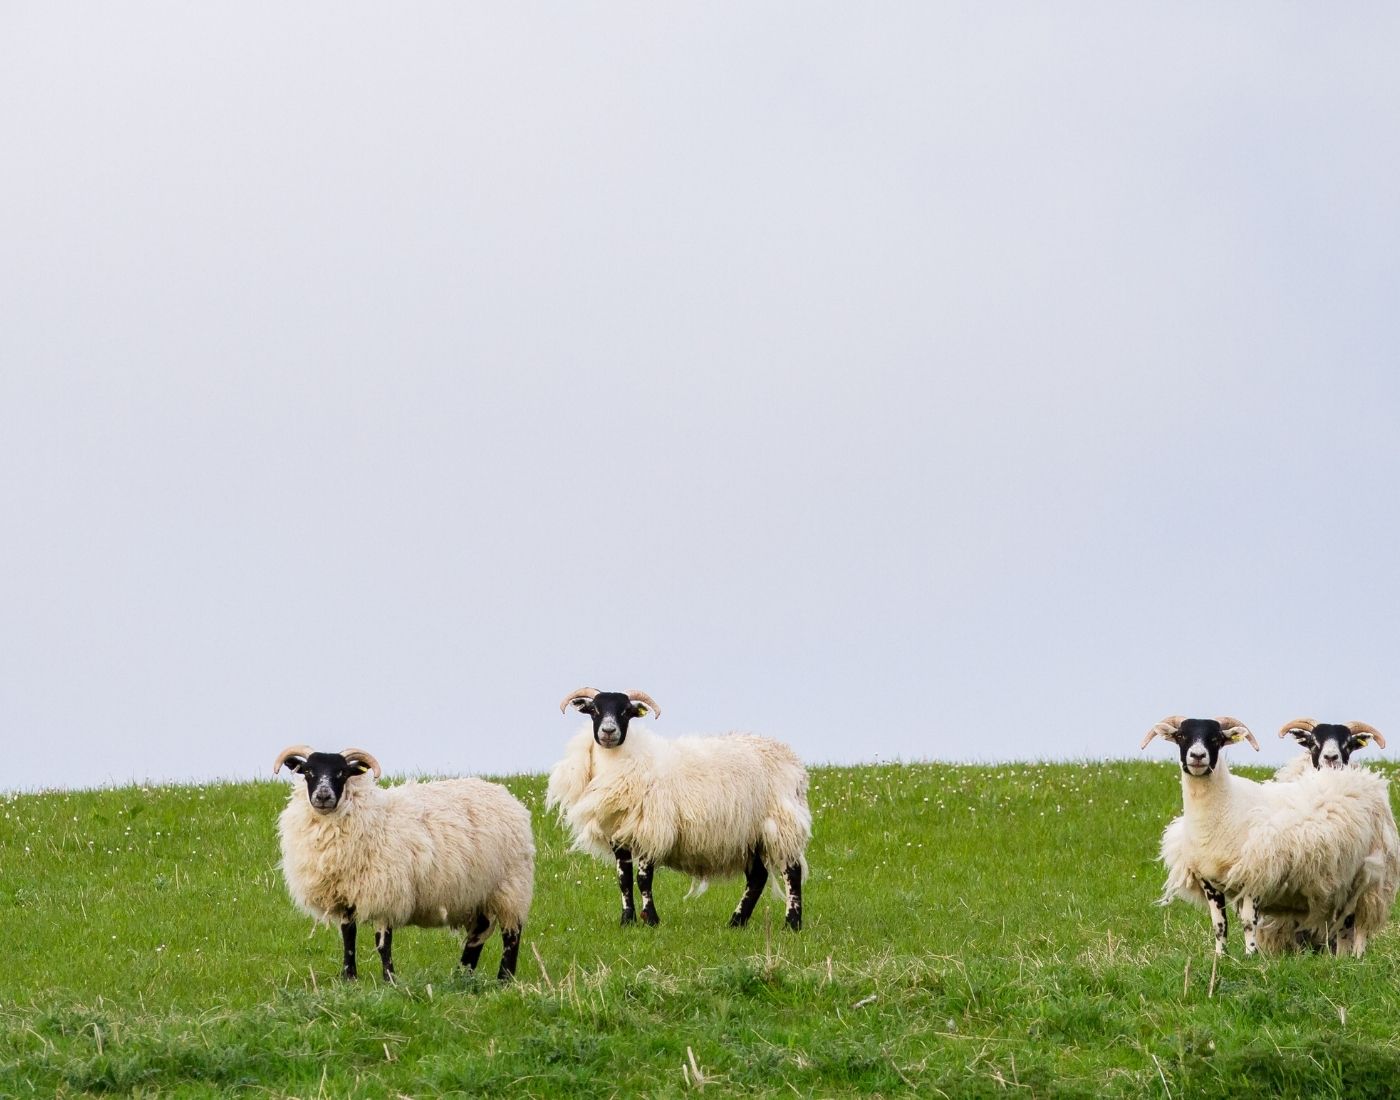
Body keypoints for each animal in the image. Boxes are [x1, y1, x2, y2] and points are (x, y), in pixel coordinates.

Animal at [274, 745, 534, 982]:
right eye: (308, 771)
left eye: (342, 772)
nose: (323, 796)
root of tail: (508, 797)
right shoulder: (345, 895)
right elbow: (349, 937)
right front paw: (349, 977)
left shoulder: (385, 892)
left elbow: (382, 943)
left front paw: (390, 979)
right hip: (477, 893)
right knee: (478, 934)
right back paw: (462, 975)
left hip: (510, 885)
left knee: (512, 933)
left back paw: (504, 979)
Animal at [545, 688, 811, 931]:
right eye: (594, 710)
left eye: (626, 711)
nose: (608, 731)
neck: (628, 761)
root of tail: (792, 761)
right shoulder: (618, 834)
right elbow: (623, 879)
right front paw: (627, 921)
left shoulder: (651, 828)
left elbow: (643, 879)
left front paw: (651, 920)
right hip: (748, 833)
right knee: (757, 877)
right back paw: (736, 922)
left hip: (780, 822)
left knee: (792, 871)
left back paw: (792, 923)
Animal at [1143, 715, 1399, 958]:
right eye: (1181, 736)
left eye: (1216, 738)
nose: (1197, 756)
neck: (1226, 807)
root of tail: (1362, 780)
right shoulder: (1209, 880)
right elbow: (1219, 925)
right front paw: (1221, 957)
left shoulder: (1256, 874)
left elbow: (1249, 923)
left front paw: (1250, 956)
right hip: (1338, 884)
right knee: (1342, 924)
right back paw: (1341, 958)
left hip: (1370, 876)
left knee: (1357, 923)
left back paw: (1355, 957)